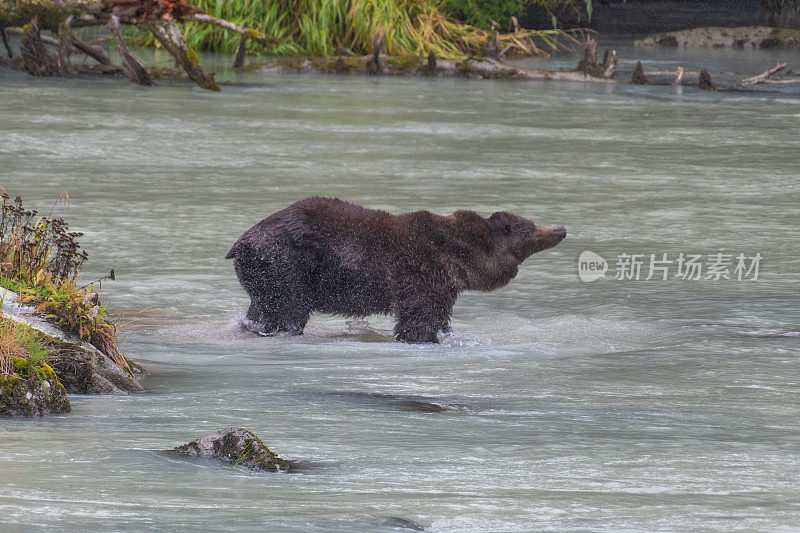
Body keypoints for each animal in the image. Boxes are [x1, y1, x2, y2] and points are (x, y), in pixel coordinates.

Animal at [223, 197, 564, 342]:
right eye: (531, 227)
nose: (561, 228)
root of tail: (239, 242)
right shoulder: (422, 271)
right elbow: (420, 317)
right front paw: (424, 337)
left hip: (262, 273)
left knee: (260, 307)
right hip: (286, 264)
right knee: (288, 309)